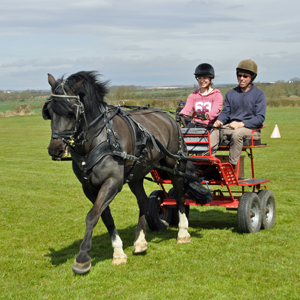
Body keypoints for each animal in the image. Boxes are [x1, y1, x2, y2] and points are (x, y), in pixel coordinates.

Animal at [42, 71, 211, 274]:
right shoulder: (89, 187)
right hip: (136, 174)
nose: (55, 149)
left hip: (175, 166)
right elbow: (104, 216)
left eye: (71, 111)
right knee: (144, 201)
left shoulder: (112, 182)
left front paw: (82, 258)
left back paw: (183, 233)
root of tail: (169, 117)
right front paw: (118, 252)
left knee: (179, 197)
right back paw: (140, 242)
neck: (100, 138)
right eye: (49, 111)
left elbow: (92, 216)